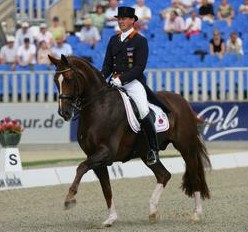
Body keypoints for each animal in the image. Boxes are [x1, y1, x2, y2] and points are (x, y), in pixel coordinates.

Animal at [49, 54, 211, 227]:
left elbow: (81, 167)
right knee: (164, 175)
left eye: (69, 77)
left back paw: (196, 214)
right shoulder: (96, 157)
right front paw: (111, 218)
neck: (99, 107)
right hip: (146, 153)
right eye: (55, 80)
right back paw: (153, 212)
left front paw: (69, 199)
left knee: (194, 175)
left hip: (185, 147)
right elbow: (106, 188)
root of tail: (183, 100)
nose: (64, 113)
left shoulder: (106, 152)